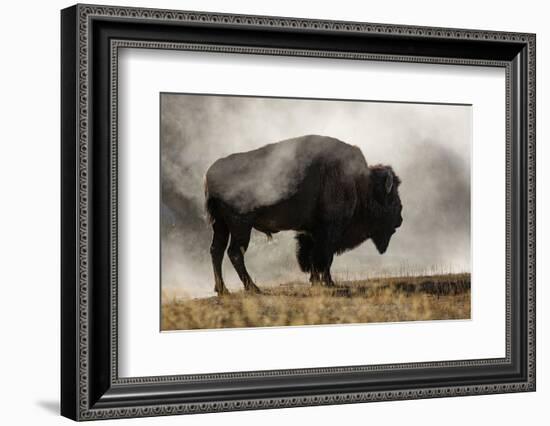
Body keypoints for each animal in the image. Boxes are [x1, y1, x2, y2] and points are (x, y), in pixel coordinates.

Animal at [205, 135, 404, 294]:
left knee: (216, 250)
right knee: (234, 253)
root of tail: (210, 173)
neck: (359, 182)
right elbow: (325, 257)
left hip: (221, 225)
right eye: (392, 196)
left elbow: (313, 256)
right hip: (240, 226)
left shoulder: (313, 232)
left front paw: (316, 281)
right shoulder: (330, 230)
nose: (400, 219)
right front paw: (329, 283)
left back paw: (223, 290)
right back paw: (253, 288)